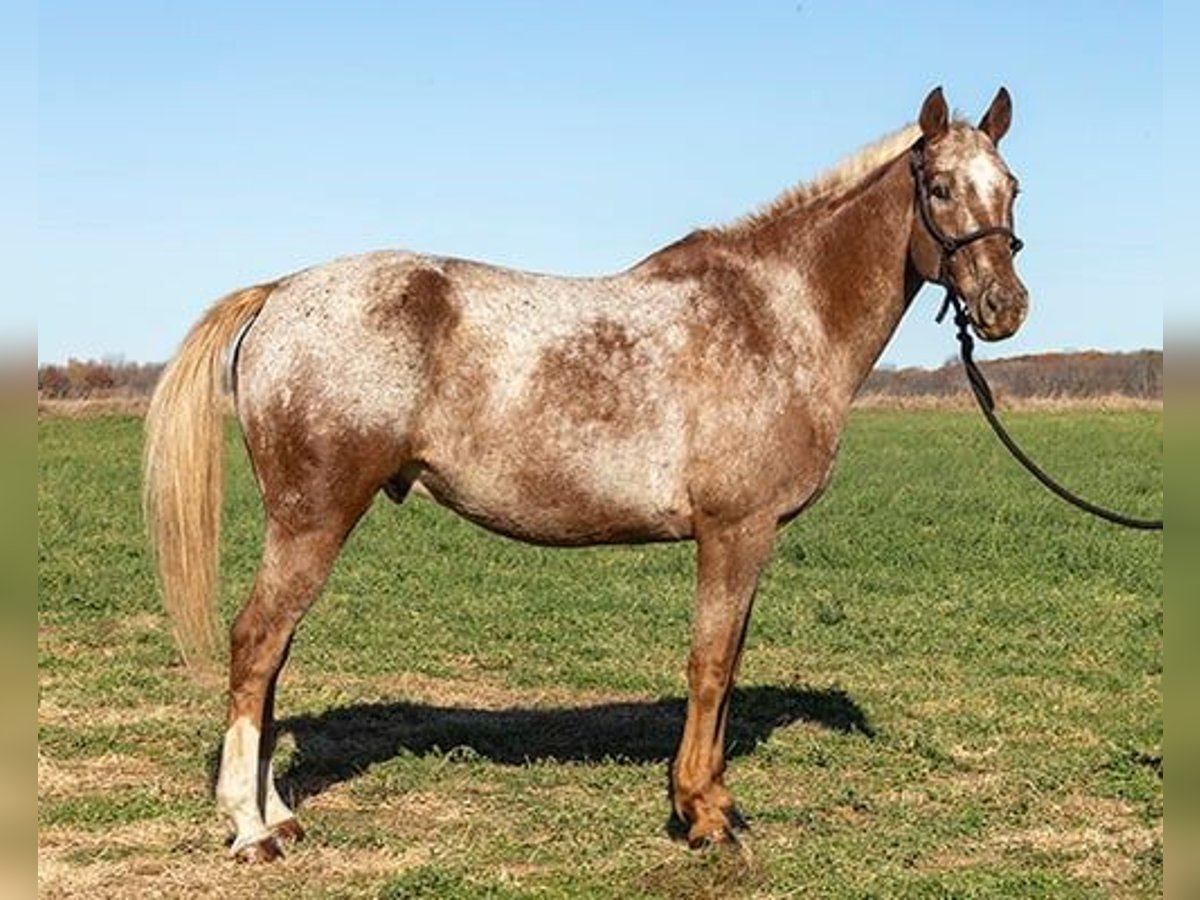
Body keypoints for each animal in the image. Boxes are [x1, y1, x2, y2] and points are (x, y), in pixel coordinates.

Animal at [143, 86, 1028, 861]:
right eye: (940, 188)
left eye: (1012, 187)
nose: (1004, 306)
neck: (774, 316)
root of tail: (279, 292)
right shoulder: (734, 532)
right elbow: (710, 665)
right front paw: (701, 813)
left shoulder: (749, 538)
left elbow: (730, 662)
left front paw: (712, 799)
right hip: (313, 518)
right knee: (257, 642)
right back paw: (251, 831)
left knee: (273, 655)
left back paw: (279, 816)